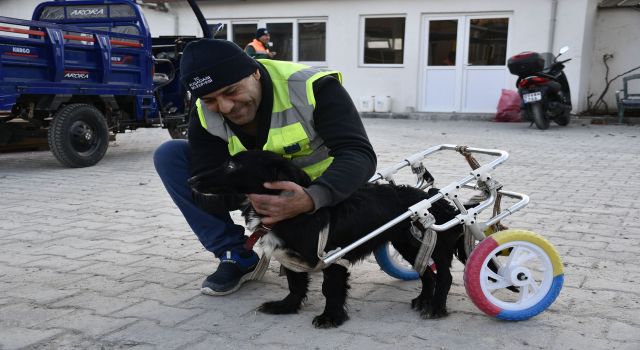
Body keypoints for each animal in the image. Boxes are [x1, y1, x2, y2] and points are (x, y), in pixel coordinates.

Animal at [190, 150, 464, 328]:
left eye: (232, 166)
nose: (191, 179)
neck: (296, 215)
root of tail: (436, 200)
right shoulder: (290, 258)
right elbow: (295, 285)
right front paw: (286, 307)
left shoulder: (333, 258)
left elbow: (331, 289)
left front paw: (331, 317)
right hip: (408, 244)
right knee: (426, 272)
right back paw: (423, 300)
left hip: (430, 243)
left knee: (444, 276)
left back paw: (436, 307)